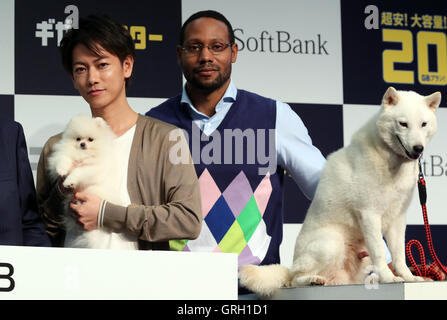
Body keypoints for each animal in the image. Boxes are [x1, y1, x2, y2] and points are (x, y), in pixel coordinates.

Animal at [46, 115, 138, 250]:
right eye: (78, 138)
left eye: (90, 139)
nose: (82, 144)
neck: (83, 154)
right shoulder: (63, 154)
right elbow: (63, 159)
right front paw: (62, 171)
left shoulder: (92, 169)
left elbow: (79, 171)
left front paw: (70, 181)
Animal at [240, 87, 442, 296]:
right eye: (403, 124)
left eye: (423, 124)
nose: (418, 148)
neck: (391, 162)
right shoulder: (370, 214)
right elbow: (379, 250)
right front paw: (389, 278)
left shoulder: (397, 219)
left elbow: (399, 254)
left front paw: (408, 277)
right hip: (331, 242)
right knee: (294, 279)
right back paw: (313, 279)